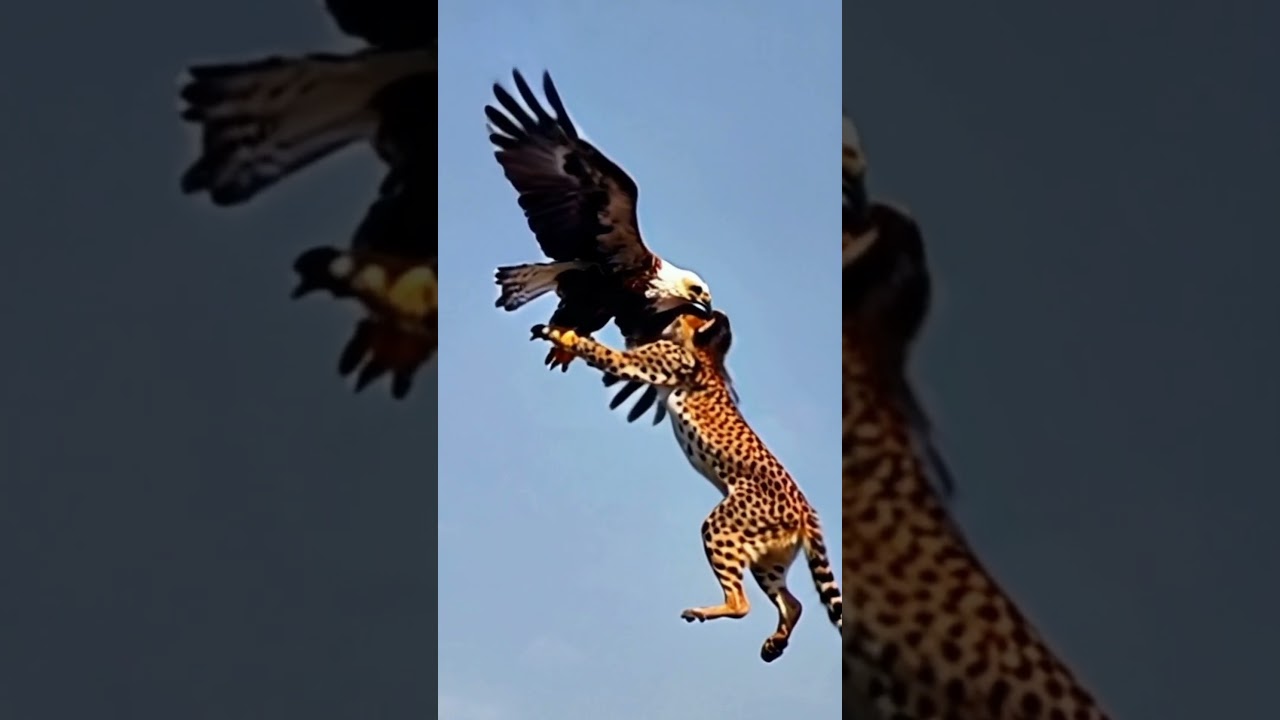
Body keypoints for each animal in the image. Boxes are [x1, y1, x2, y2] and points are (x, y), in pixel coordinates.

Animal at [531, 311, 842, 663]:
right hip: (768, 557)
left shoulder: (649, 363)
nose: (678, 313)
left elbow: (607, 356)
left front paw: (561, 335)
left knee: (743, 604)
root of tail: (805, 507)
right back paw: (774, 643)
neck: (707, 353)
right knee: (794, 603)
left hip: (724, 527)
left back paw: (704, 612)